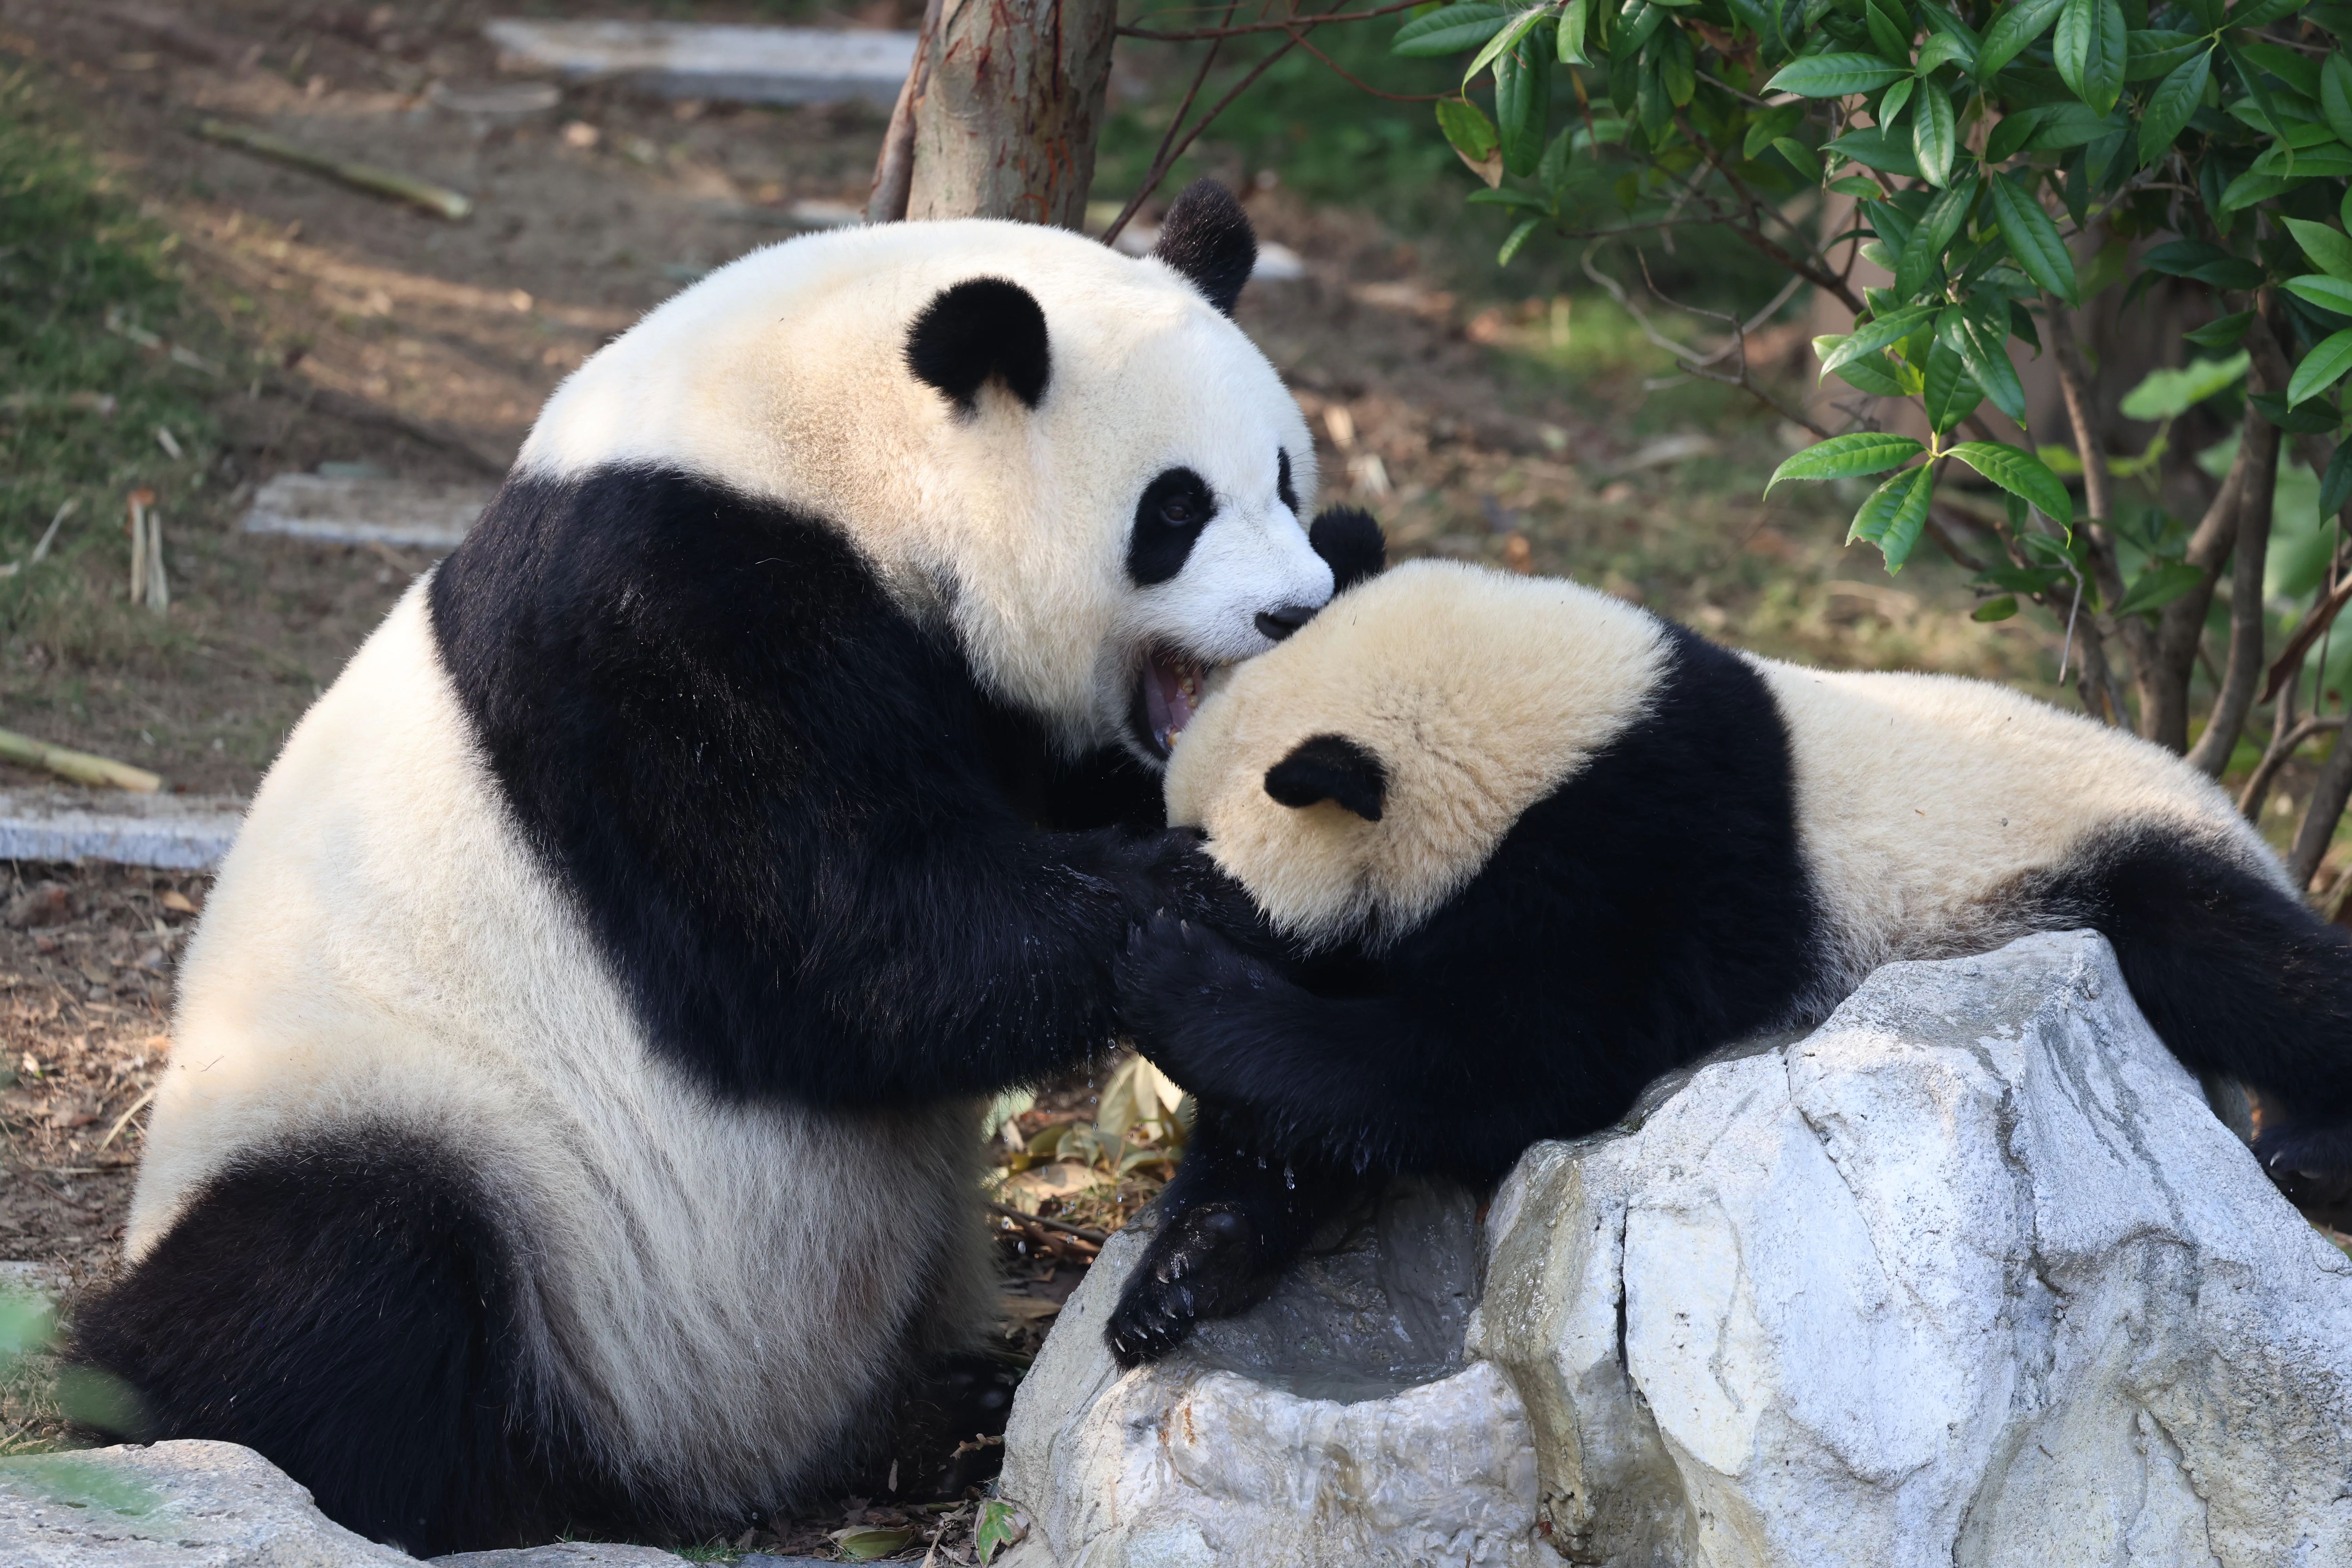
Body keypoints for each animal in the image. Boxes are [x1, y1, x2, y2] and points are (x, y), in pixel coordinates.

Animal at [70, 182, 1365, 1554]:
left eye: (1287, 477)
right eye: (1174, 509)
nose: (1293, 609)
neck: (821, 442)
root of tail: (703, 1465)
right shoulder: (660, 618)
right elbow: (852, 941)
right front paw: (1200, 896)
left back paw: (948, 1404)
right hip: (418, 1127)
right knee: (338, 1275)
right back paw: (471, 1483)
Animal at [1104, 552, 2352, 1365]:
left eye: (1203, 867)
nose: (1139, 895)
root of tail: (2232, 809)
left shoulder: (1636, 850)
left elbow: (1500, 1064)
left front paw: (1172, 982)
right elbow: (1325, 1116)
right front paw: (1183, 1273)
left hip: (2088, 856)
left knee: (2249, 969)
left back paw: (2311, 1154)